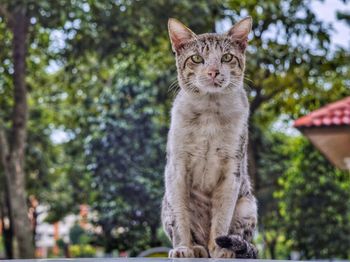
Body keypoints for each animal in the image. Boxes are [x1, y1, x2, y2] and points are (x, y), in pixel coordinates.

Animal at [161, 17, 258, 258]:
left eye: (227, 57)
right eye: (197, 58)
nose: (213, 72)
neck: (209, 114)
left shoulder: (231, 169)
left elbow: (222, 218)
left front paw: (221, 249)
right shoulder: (177, 168)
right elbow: (181, 218)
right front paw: (183, 248)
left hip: (248, 205)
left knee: (241, 236)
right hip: (165, 203)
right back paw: (197, 248)